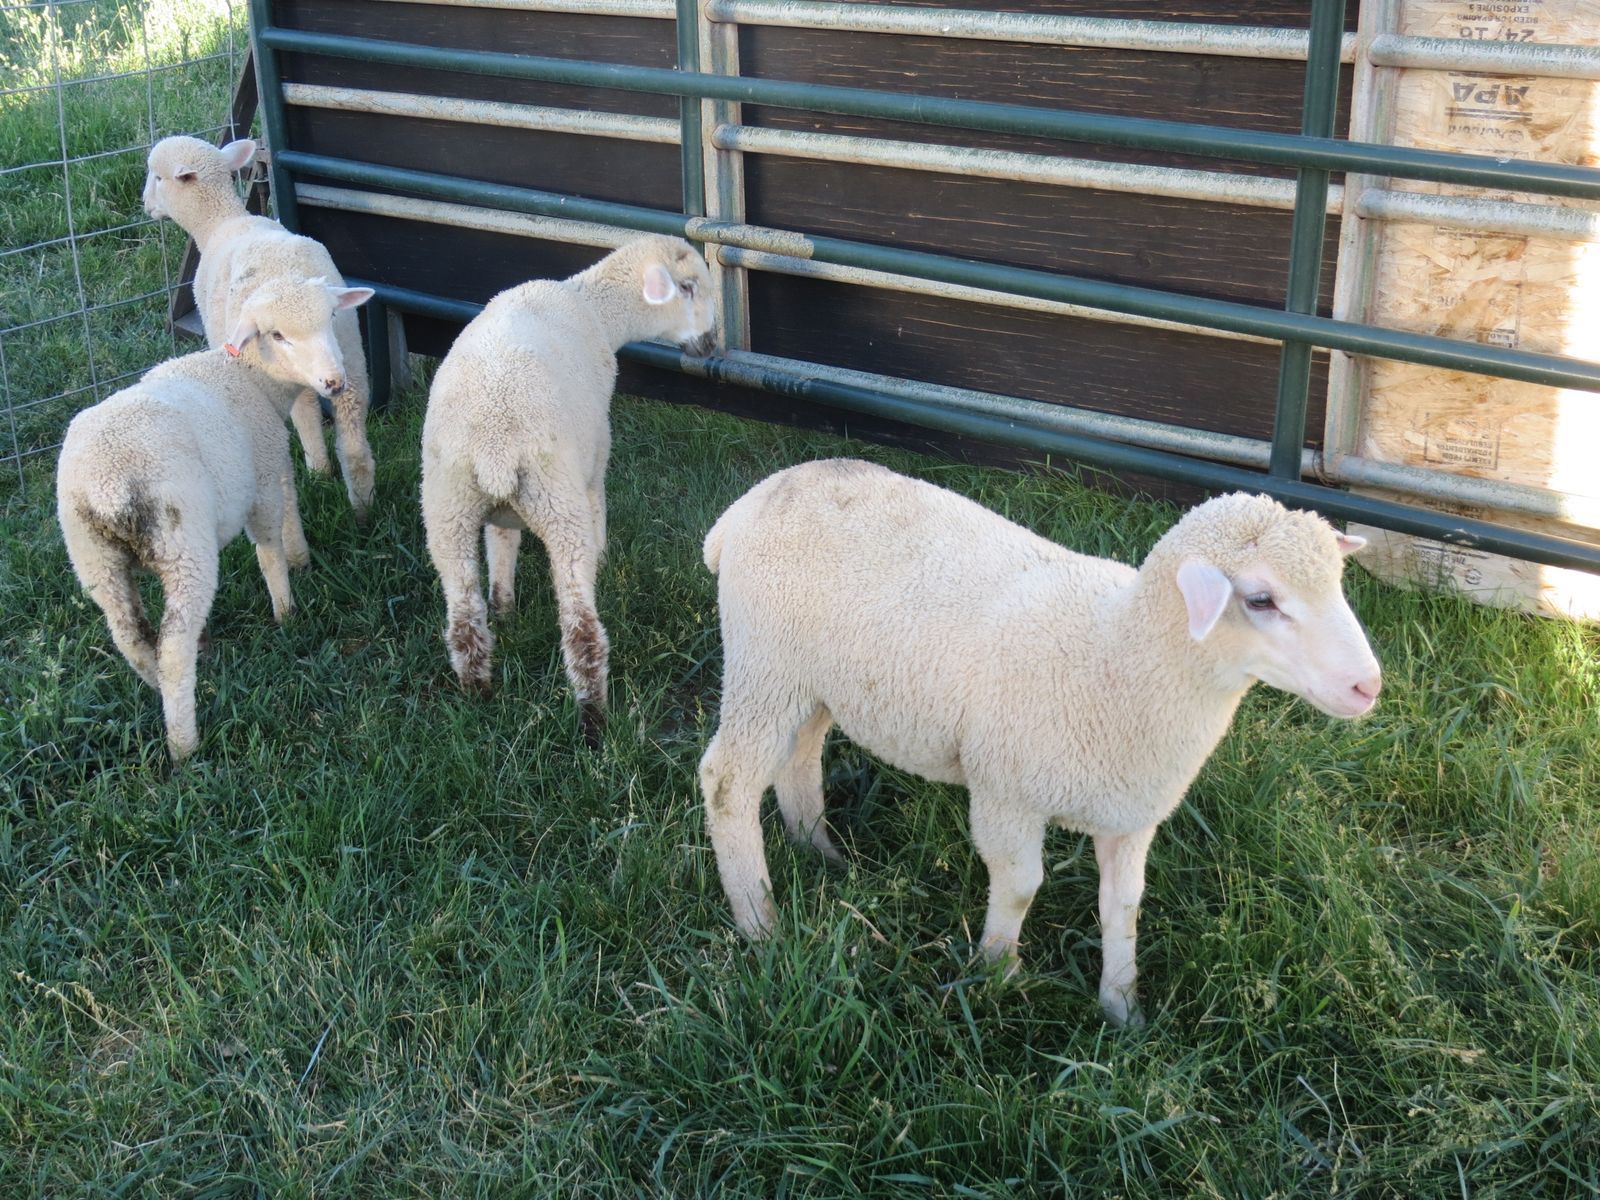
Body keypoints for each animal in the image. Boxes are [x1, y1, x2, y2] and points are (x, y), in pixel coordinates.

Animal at [56, 279, 373, 762]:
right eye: (277, 334)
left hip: (93, 557)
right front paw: (287, 609)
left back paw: (161, 691)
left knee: (130, 636)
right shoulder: (263, 474)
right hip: (184, 546)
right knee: (173, 645)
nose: (334, 382)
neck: (251, 378)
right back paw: (184, 742)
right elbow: (271, 544)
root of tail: (108, 486)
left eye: (331, 317)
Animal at [143, 135, 378, 521]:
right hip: (349, 354)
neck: (221, 222)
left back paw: (319, 472)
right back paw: (363, 507)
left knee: (306, 416)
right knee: (354, 435)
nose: (146, 205)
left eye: (158, 178)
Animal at [420, 234, 715, 741]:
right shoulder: (594, 458)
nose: (712, 343)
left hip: (447, 506)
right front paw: (604, 557)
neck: (594, 307)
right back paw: (594, 721)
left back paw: (477, 695)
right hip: (557, 501)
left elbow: (501, 542)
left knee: (463, 619)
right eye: (689, 286)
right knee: (582, 630)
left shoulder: (500, 511)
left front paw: (505, 606)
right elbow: (599, 506)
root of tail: (494, 449)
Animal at [698, 460, 1383, 1026]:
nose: (1368, 685)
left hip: (813, 682)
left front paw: (1122, 1010)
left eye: (1338, 583)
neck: (1117, 654)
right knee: (728, 781)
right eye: (1262, 599)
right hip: (766, 661)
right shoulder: (1006, 791)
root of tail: (747, 504)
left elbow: (1124, 905)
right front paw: (995, 977)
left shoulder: (1131, 812)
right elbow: (1022, 885)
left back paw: (820, 851)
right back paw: (760, 924)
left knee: (799, 758)